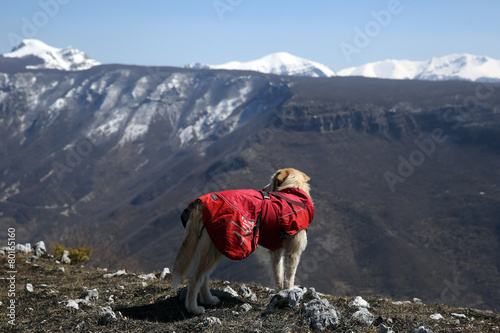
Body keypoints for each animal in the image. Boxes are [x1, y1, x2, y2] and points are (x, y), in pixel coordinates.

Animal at [172, 167, 312, 312]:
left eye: (272, 180)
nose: (263, 188)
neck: (293, 193)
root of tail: (201, 204)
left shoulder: (276, 250)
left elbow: (278, 275)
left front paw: (279, 294)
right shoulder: (292, 253)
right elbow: (289, 277)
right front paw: (289, 294)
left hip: (213, 248)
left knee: (204, 277)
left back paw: (209, 300)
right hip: (214, 250)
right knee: (195, 279)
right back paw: (194, 308)